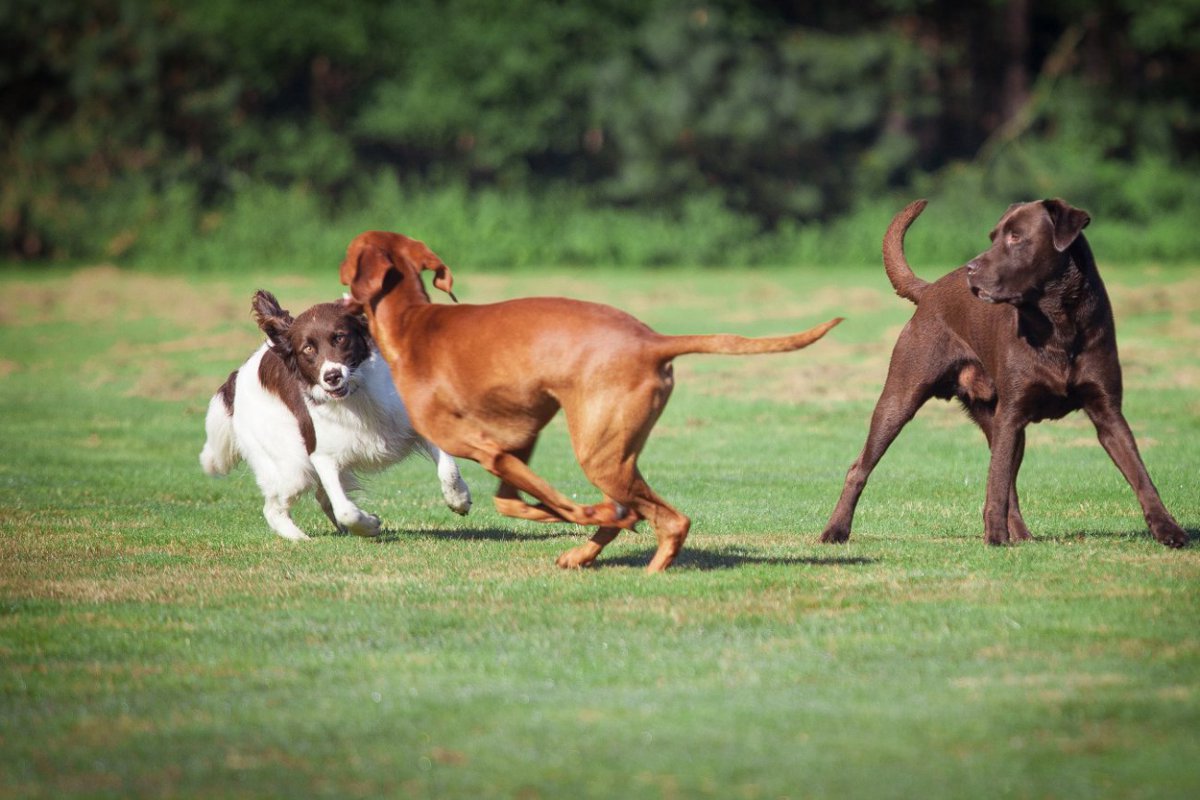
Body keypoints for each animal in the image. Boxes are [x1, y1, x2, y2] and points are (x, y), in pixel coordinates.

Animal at [201, 291, 468, 542]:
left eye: (340, 337)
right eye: (308, 348)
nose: (332, 376)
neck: (356, 396)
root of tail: (236, 377)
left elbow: (448, 469)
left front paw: (459, 499)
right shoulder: (322, 455)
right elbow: (345, 511)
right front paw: (370, 525)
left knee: (320, 497)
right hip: (292, 467)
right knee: (274, 508)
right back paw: (300, 539)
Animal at [338, 230, 844, 568]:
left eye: (346, 261)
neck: (412, 322)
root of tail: (652, 341)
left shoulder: (486, 449)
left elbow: (544, 503)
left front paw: (574, 512)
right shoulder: (519, 441)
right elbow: (511, 501)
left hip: (598, 453)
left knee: (669, 520)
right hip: (613, 449)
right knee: (643, 512)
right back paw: (586, 552)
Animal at [820, 201, 1185, 551]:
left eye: (1016, 237)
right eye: (992, 237)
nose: (971, 268)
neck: (1057, 324)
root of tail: (929, 290)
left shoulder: (1107, 412)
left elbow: (1140, 475)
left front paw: (1169, 530)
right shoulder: (1012, 414)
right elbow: (995, 485)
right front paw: (994, 537)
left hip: (1000, 425)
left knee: (1009, 484)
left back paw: (1021, 534)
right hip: (900, 399)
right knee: (859, 467)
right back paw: (835, 531)